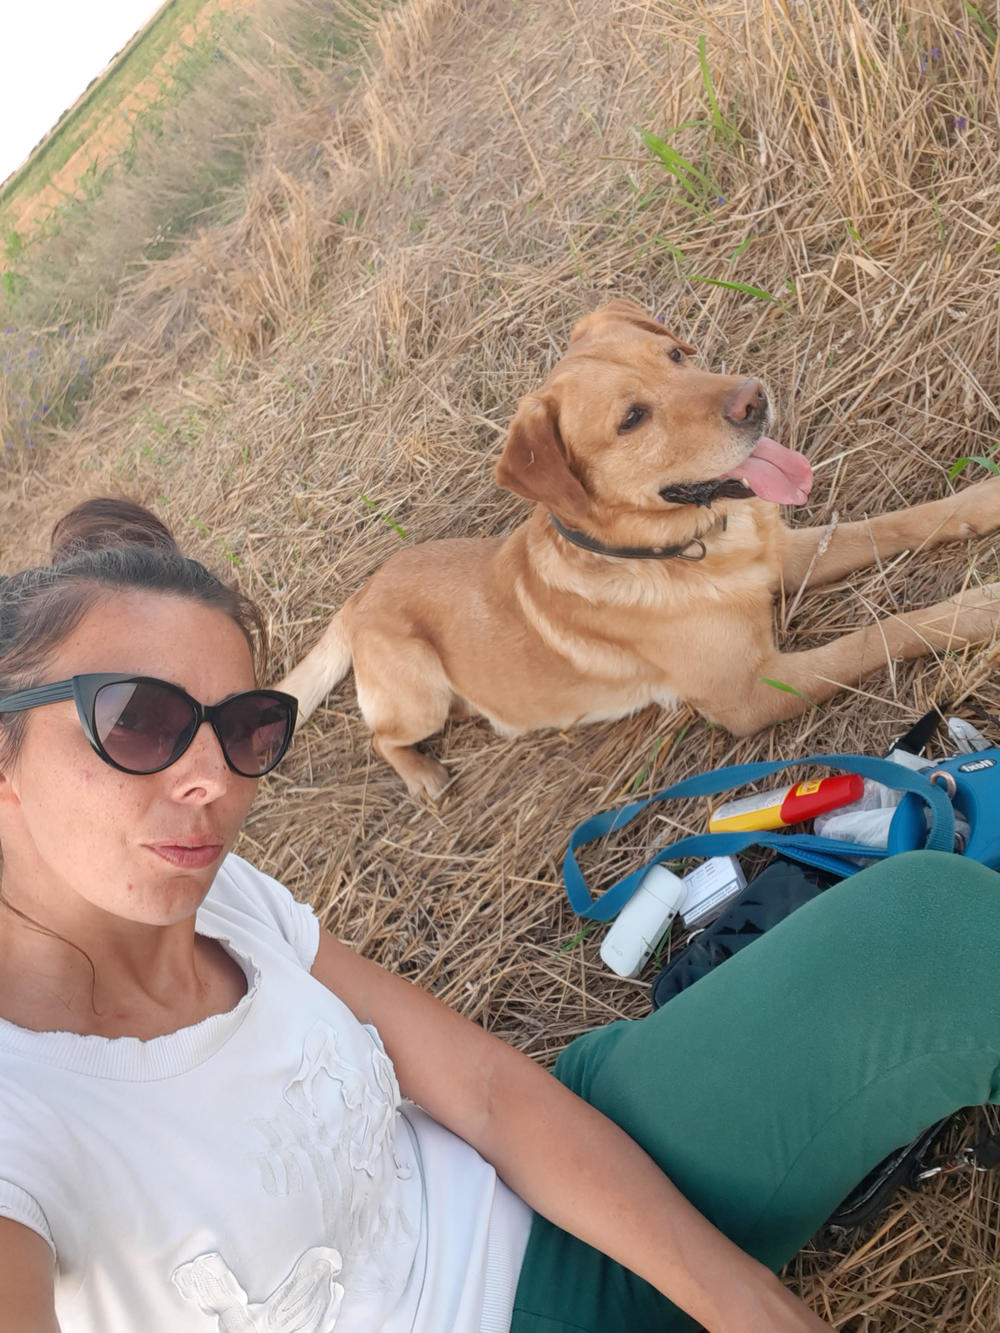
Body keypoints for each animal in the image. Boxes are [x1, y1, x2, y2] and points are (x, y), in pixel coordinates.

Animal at [279, 299, 1000, 798]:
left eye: (675, 357)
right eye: (631, 419)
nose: (754, 398)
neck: (689, 548)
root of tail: (360, 595)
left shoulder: (786, 557)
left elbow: (899, 524)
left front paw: (985, 501)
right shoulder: (752, 694)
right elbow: (883, 633)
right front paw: (977, 609)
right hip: (418, 688)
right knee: (382, 736)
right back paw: (421, 775)